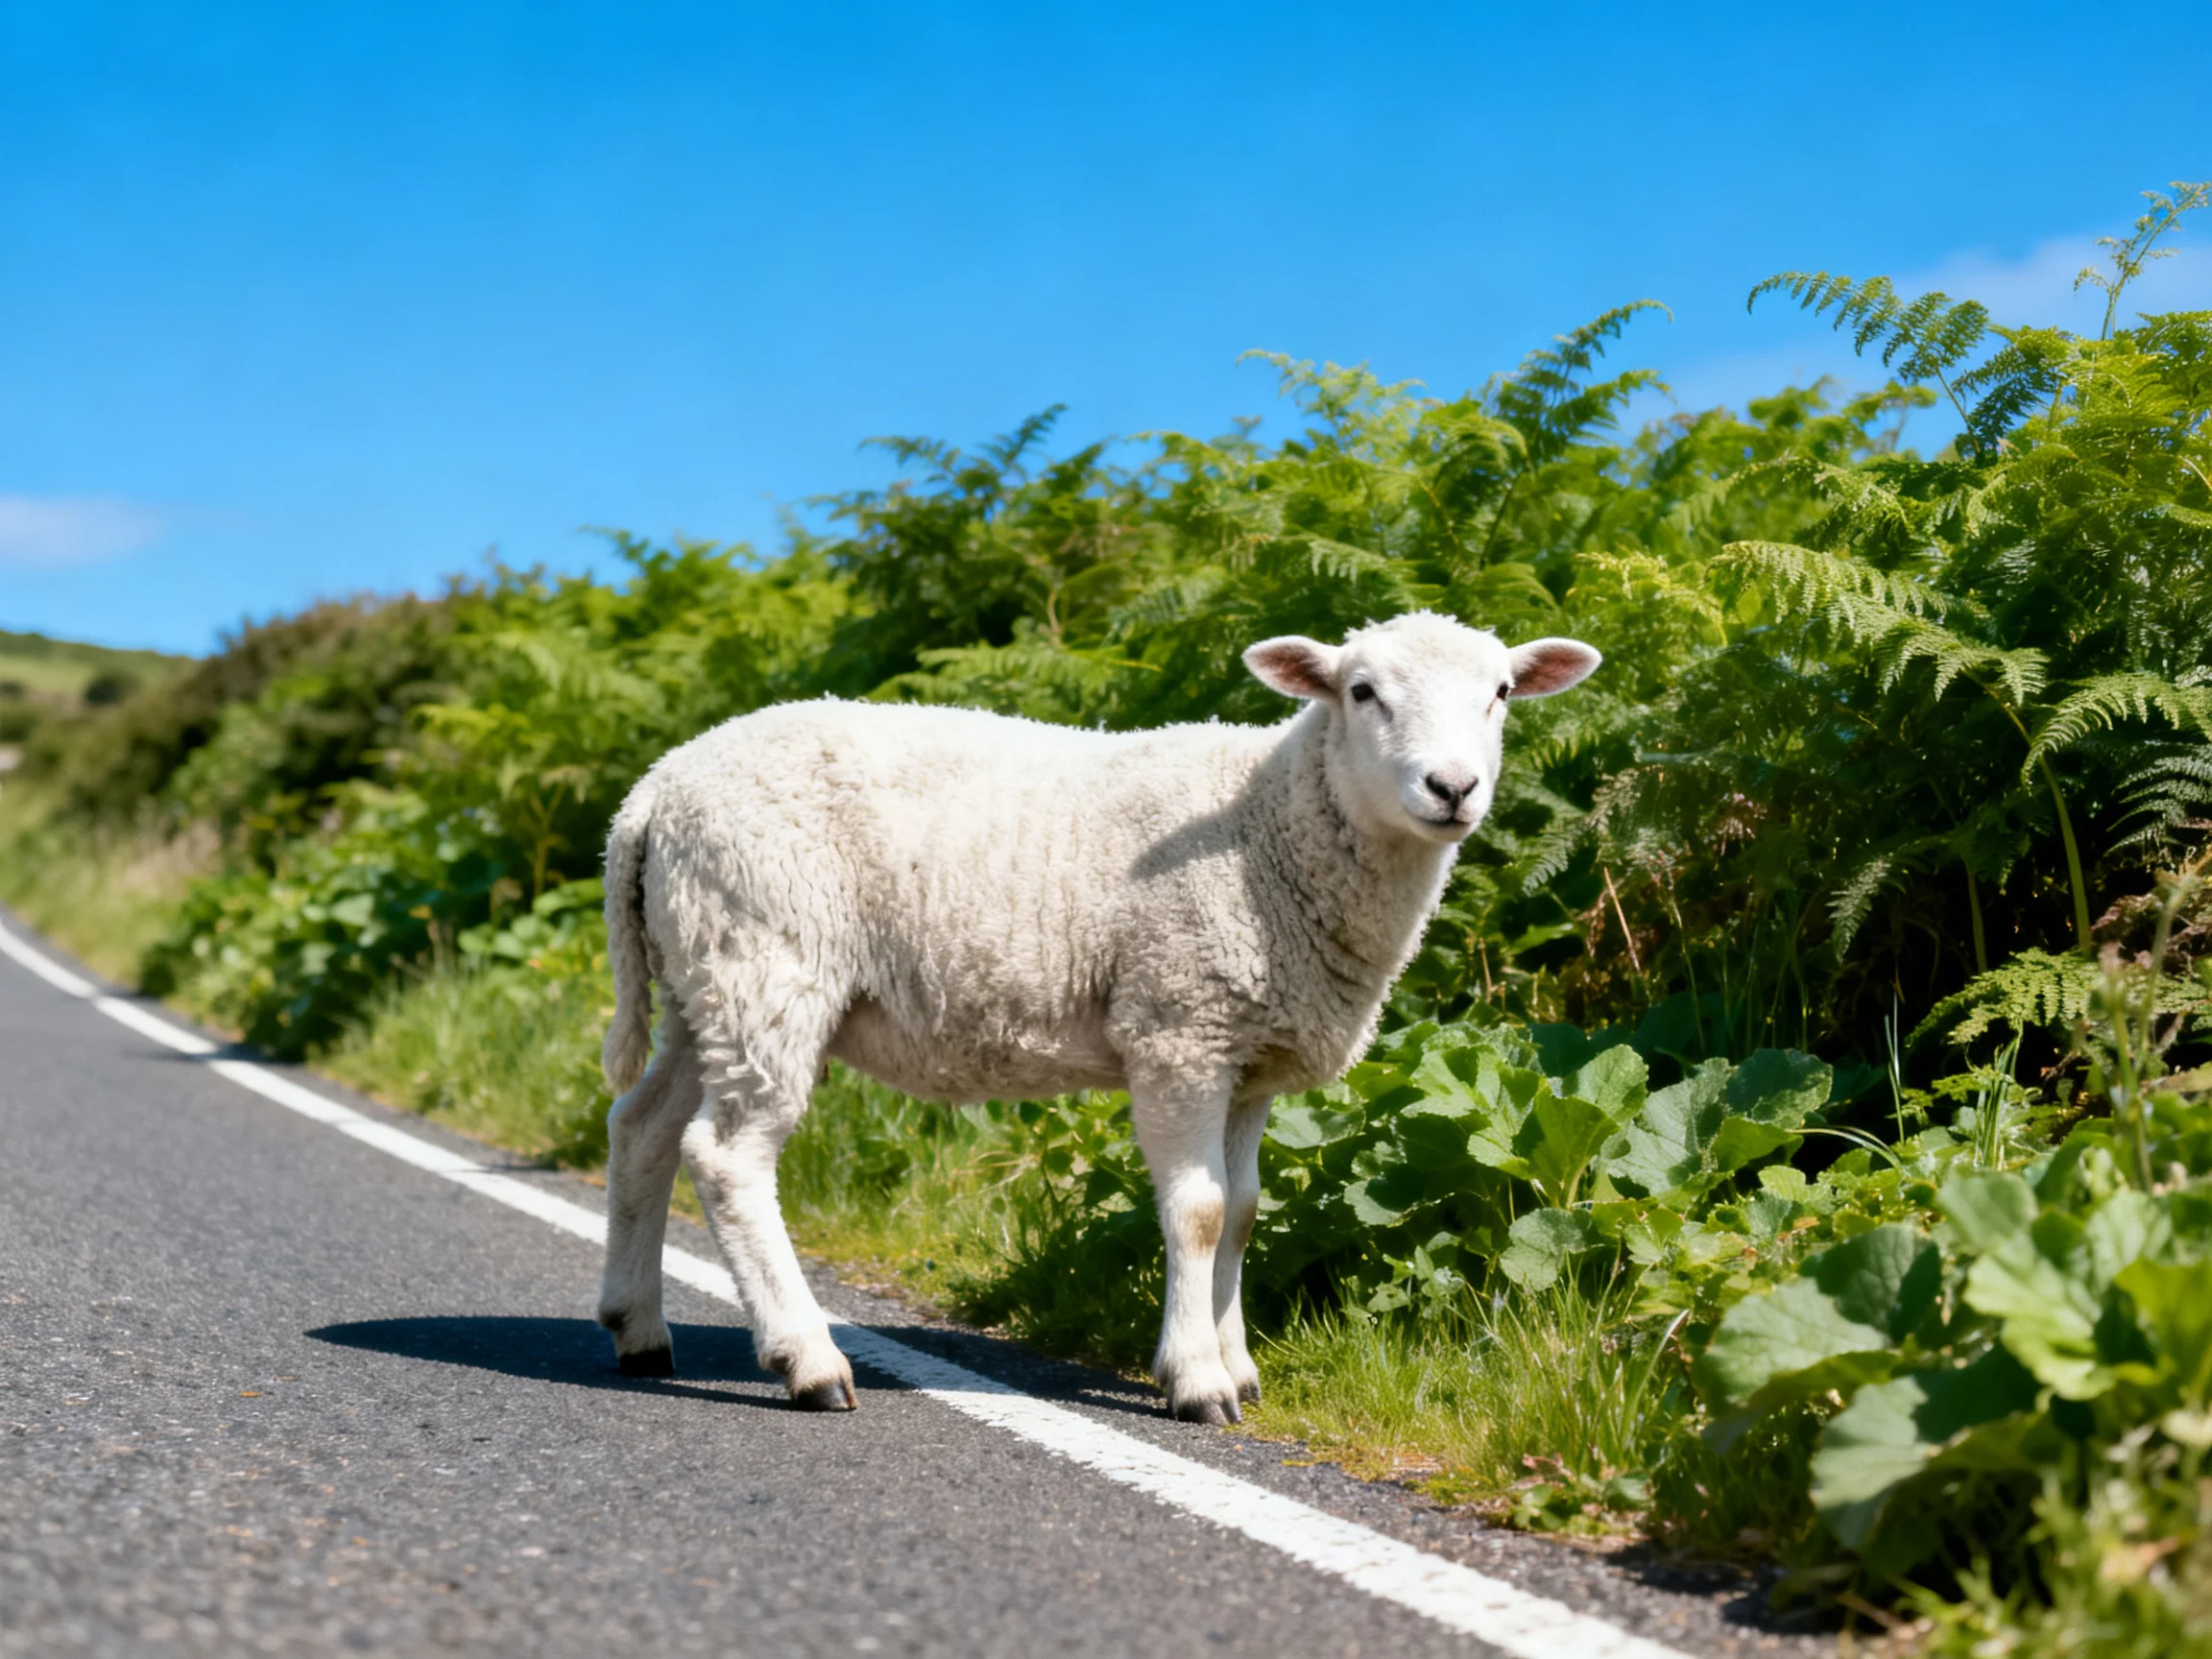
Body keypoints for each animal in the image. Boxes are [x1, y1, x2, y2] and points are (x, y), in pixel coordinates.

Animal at [592, 611, 1600, 1422]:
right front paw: (1196, 1380)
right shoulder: (1180, 1025)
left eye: (1501, 693)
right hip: (770, 957)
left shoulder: (1249, 1056)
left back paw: (637, 1330)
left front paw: (1238, 1365)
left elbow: (1244, 1210)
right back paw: (807, 1360)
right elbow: (1198, 1211)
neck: (1271, 829)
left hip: (702, 979)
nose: (1453, 789)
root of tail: (650, 795)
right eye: (1362, 692)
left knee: (643, 1127)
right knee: (727, 1158)